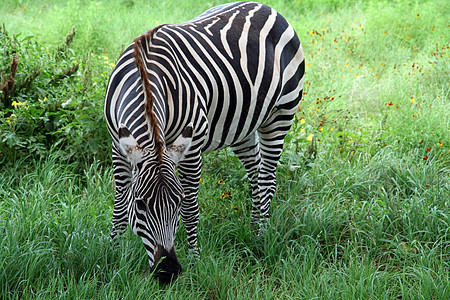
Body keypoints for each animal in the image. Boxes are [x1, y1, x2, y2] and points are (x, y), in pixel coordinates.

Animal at [103, 1, 304, 282]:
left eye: (176, 202)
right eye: (141, 205)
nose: (168, 271)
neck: (145, 79)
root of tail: (267, 7)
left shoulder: (192, 147)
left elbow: (191, 209)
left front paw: (195, 260)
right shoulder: (118, 146)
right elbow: (120, 204)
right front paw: (114, 252)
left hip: (281, 114)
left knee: (267, 180)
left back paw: (261, 236)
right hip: (241, 126)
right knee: (255, 173)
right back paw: (253, 227)